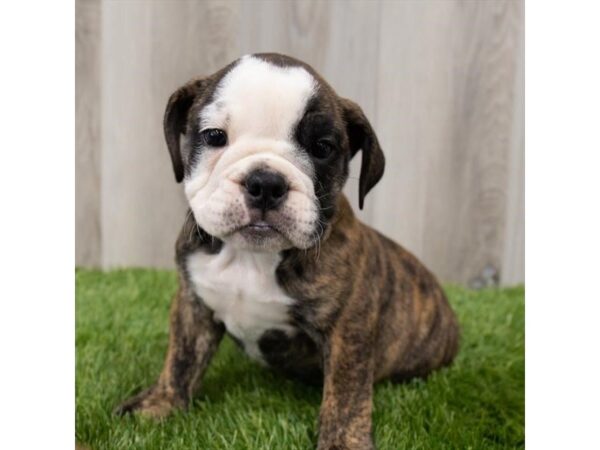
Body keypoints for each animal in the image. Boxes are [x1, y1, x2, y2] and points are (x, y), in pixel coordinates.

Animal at [115, 53, 458, 450]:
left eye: (322, 148)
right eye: (214, 136)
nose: (265, 183)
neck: (252, 257)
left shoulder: (349, 328)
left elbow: (347, 392)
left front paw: (342, 442)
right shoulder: (192, 304)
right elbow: (181, 358)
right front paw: (160, 404)